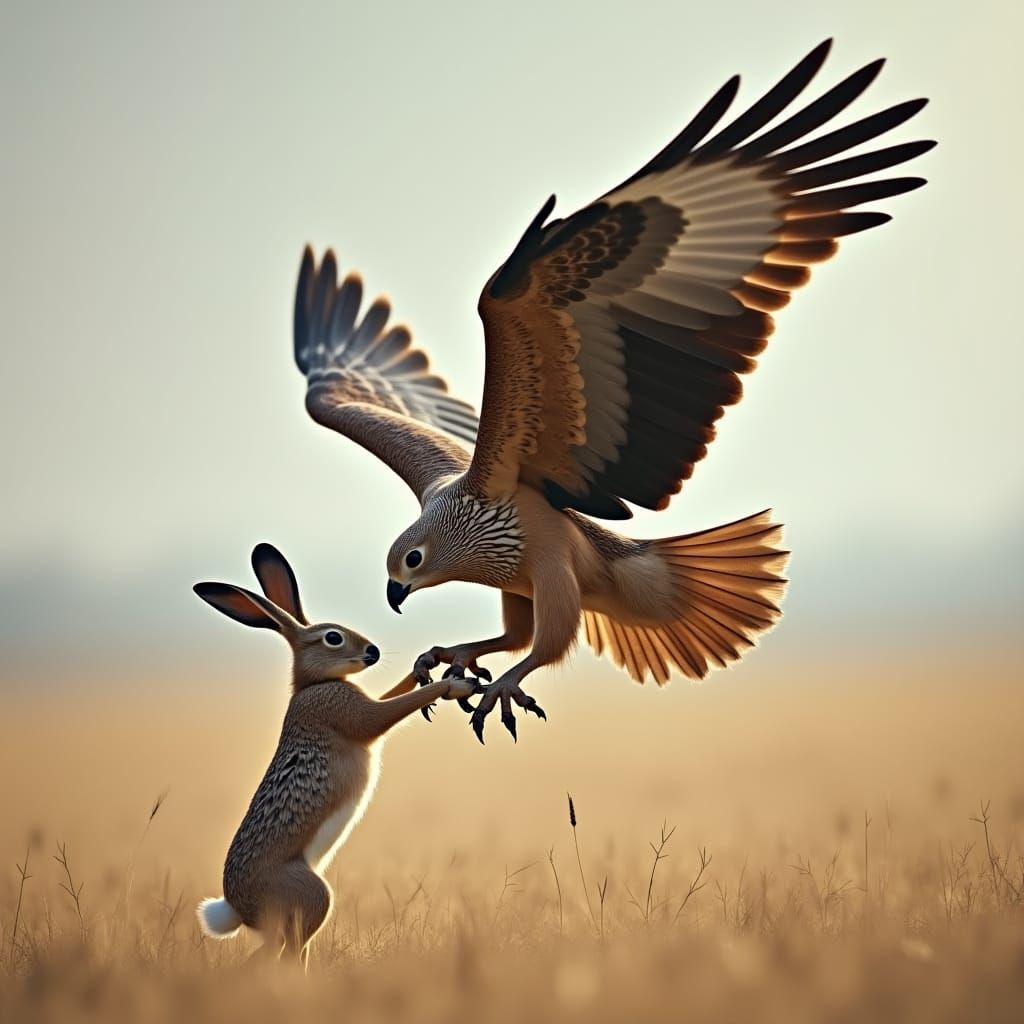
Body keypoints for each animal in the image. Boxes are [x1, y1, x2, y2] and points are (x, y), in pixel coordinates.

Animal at [193, 542, 477, 965]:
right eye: (332, 638)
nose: (373, 651)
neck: (313, 684)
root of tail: (234, 908)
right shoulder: (352, 715)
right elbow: (390, 710)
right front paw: (456, 685)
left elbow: (395, 693)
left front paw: (425, 665)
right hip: (310, 897)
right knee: (282, 952)